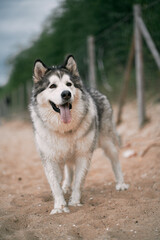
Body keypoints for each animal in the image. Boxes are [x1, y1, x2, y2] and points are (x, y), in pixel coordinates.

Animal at [29, 55, 128, 215]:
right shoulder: (49, 158)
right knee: (69, 169)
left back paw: (121, 184)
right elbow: (55, 184)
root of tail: (92, 90)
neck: (64, 129)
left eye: (69, 84)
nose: (66, 93)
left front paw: (75, 202)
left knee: (115, 161)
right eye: (52, 86)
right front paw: (59, 206)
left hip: (108, 143)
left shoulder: (83, 154)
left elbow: (79, 181)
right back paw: (65, 186)